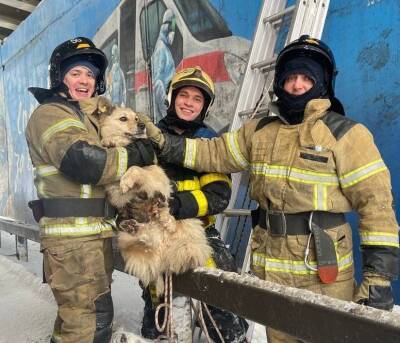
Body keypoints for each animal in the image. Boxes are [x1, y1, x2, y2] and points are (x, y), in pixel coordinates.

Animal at [97, 98, 212, 294]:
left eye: (137, 118)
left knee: (175, 226)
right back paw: (133, 226)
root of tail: (163, 254)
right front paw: (109, 141)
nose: (143, 126)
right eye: (123, 118)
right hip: (125, 240)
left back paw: (166, 218)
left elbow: (135, 168)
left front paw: (127, 180)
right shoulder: (114, 191)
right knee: (144, 239)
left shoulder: (157, 176)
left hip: (189, 225)